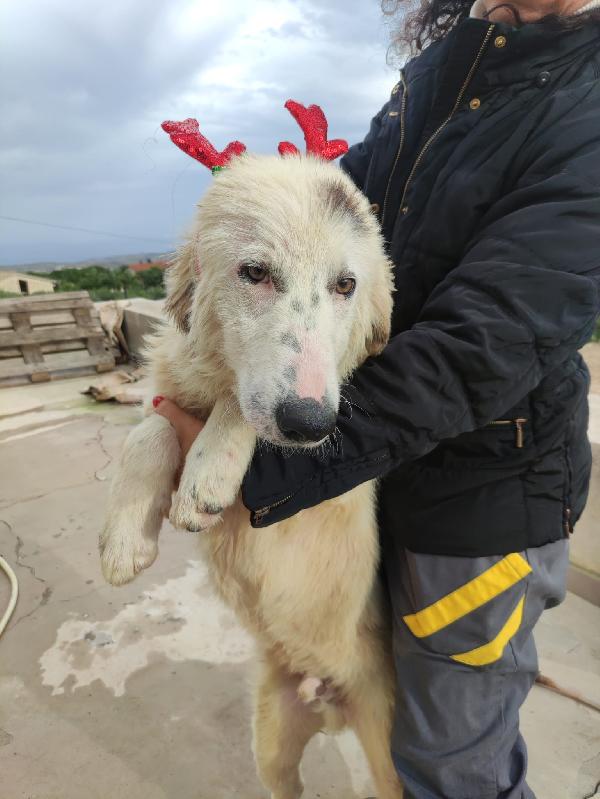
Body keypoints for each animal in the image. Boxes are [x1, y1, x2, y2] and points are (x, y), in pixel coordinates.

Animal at [99, 109, 404, 799]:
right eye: (255, 273)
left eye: (346, 284)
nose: (312, 425)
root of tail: (327, 696)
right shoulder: (172, 396)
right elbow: (147, 431)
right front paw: (126, 540)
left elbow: (242, 407)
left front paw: (207, 474)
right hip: (271, 744)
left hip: (390, 754)